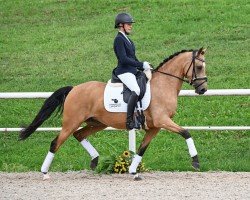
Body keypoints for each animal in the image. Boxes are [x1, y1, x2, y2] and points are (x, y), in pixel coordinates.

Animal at [19, 47, 207, 180]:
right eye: (199, 67)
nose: (203, 90)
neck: (163, 85)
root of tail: (74, 89)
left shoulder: (155, 127)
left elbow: (141, 149)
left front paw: (133, 172)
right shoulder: (162, 121)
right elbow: (186, 132)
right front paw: (196, 161)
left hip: (97, 123)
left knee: (79, 135)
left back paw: (95, 160)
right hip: (71, 122)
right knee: (55, 143)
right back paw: (45, 173)